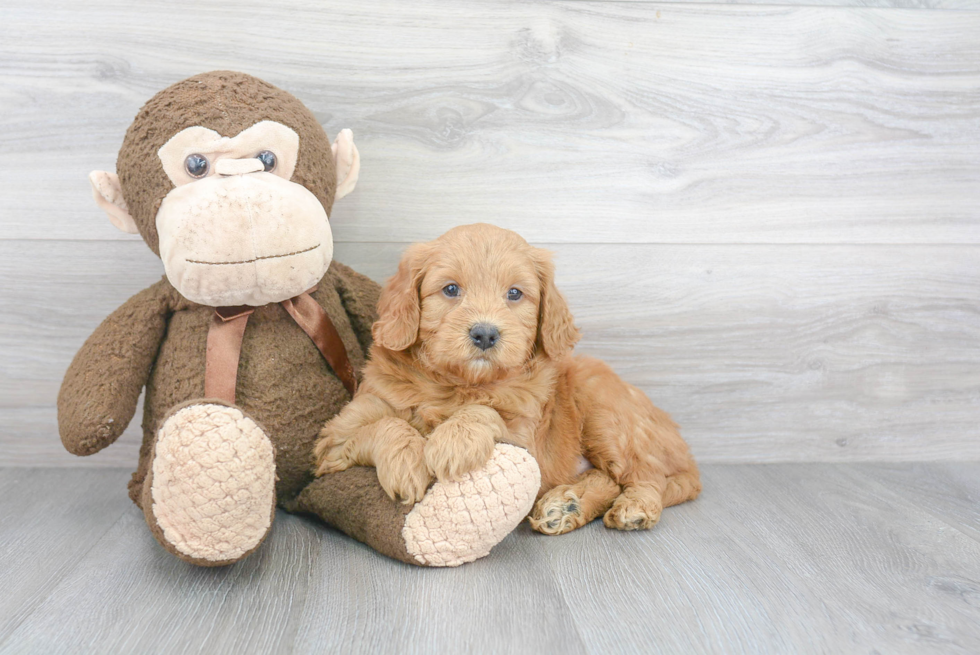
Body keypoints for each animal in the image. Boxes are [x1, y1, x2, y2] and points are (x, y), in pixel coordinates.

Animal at [314, 223, 696, 536]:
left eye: (514, 293)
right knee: (610, 479)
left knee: (649, 478)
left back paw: (635, 507)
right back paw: (565, 506)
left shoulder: (526, 438)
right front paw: (406, 461)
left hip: (601, 404)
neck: (458, 385)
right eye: (450, 289)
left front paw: (453, 441)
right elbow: (384, 425)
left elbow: (487, 411)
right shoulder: (337, 436)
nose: (485, 334)